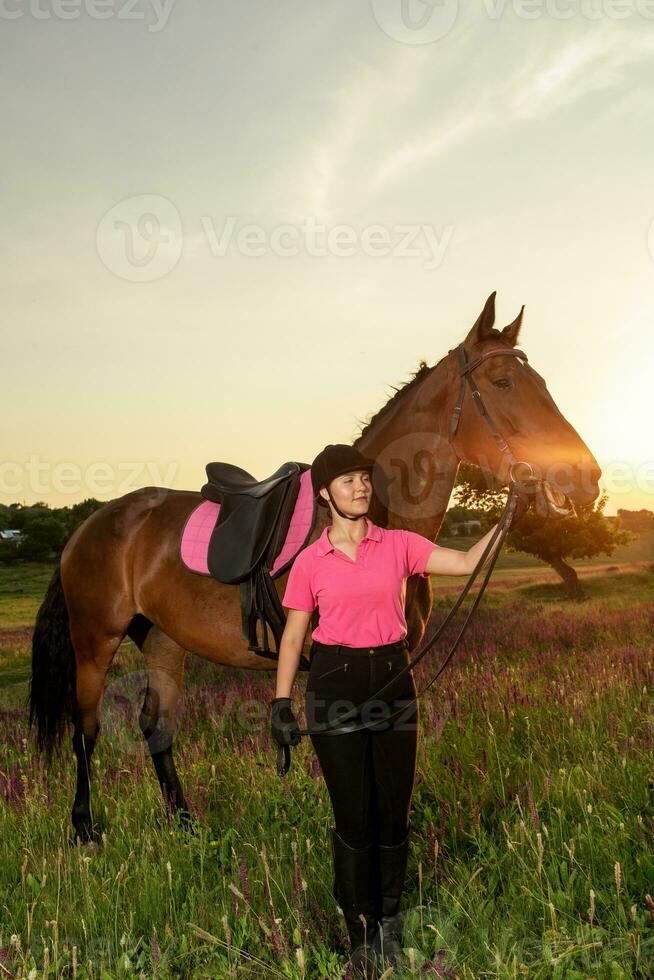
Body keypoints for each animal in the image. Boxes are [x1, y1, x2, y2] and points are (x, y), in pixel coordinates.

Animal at [29, 292, 604, 844]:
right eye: (503, 382)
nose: (586, 477)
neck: (370, 513)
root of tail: (90, 525)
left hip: (164, 643)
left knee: (156, 729)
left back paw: (186, 826)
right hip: (95, 643)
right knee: (86, 730)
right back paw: (84, 829)